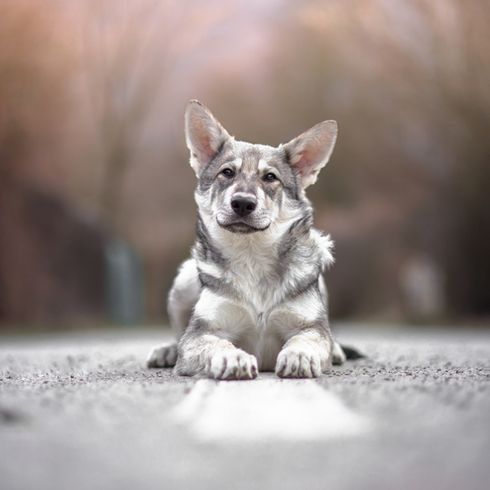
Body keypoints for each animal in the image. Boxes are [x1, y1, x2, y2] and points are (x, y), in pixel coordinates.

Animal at [147, 101, 362, 380]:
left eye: (270, 177)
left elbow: (308, 340)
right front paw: (233, 358)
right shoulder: (203, 332)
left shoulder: (307, 326)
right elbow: (215, 343)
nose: (242, 203)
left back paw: (337, 351)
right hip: (183, 281)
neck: (252, 258)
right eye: (227, 173)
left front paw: (299, 356)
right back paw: (167, 351)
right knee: (177, 336)